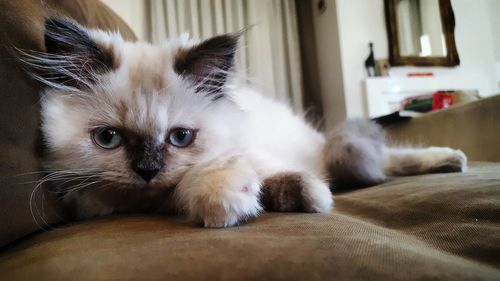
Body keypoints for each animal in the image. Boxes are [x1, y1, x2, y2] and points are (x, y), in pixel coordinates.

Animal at [25, 17, 466, 226]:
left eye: (180, 137)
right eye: (109, 139)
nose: (148, 171)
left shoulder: (249, 151)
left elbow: (261, 171)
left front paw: (310, 197)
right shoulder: (92, 198)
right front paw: (234, 198)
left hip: (328, 150)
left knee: (385, 159)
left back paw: (452, 160)